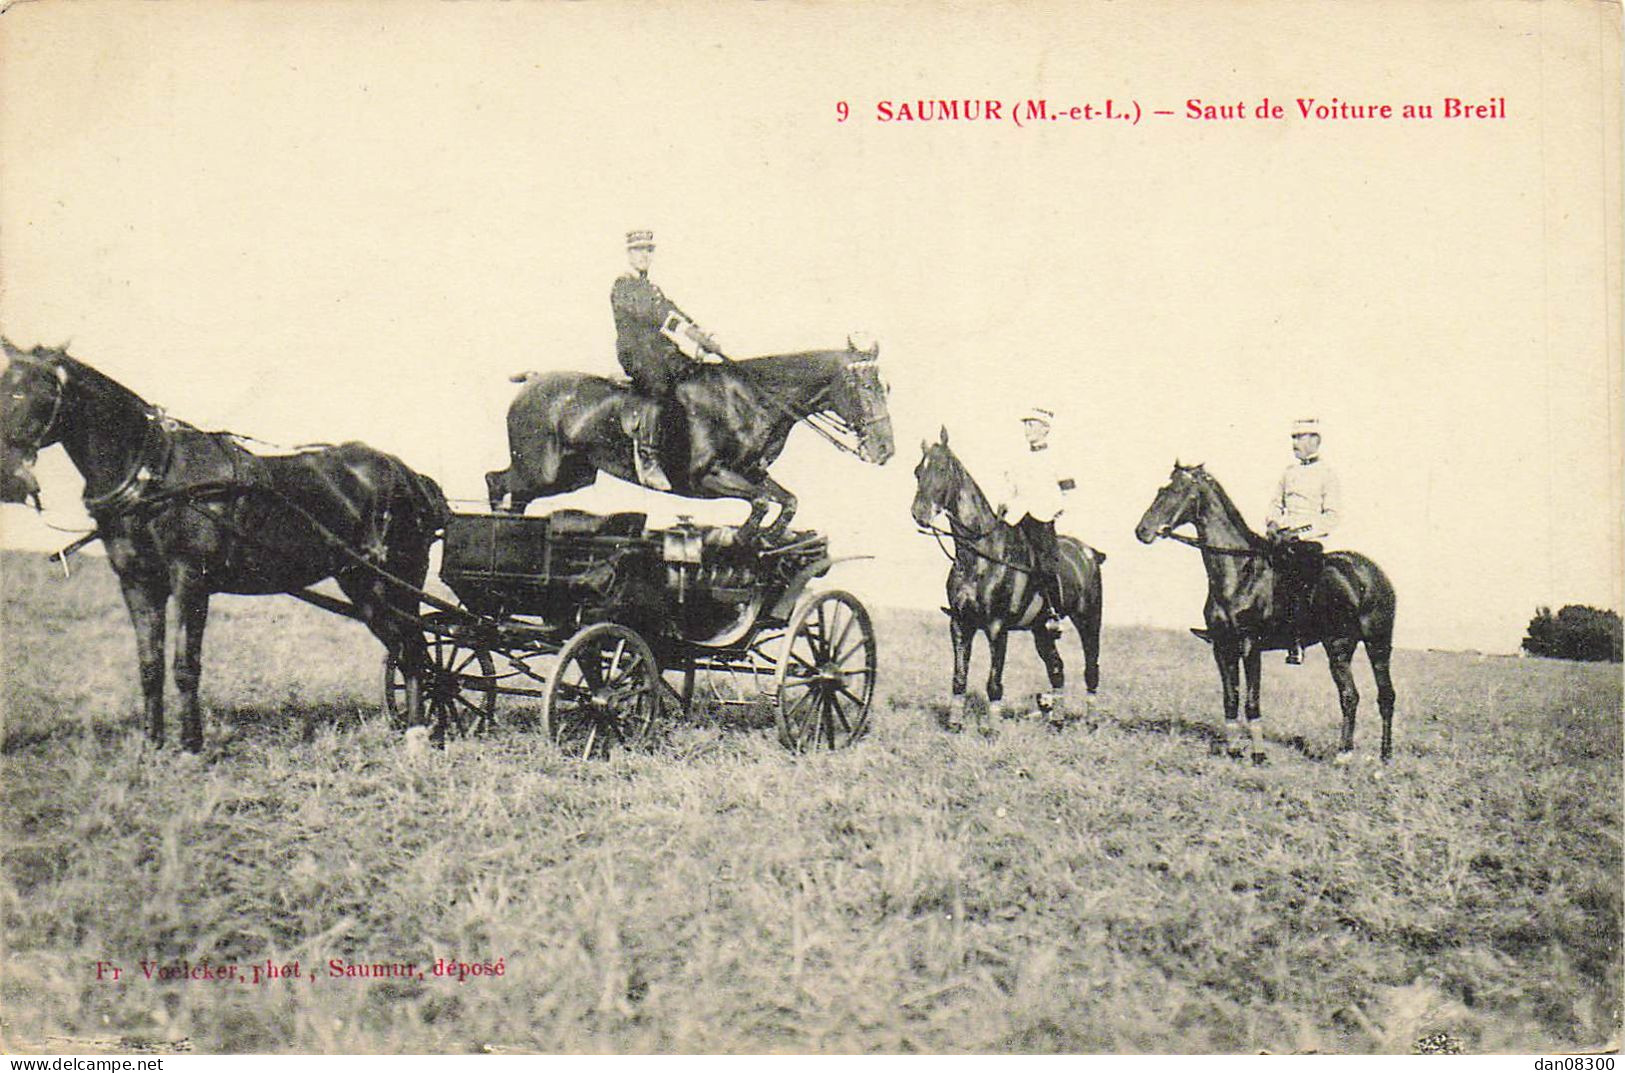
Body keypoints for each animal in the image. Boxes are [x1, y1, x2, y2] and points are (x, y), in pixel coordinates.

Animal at [0, 343, 448, 754]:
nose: (8, 479)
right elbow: (149, 666)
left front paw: (190, 747)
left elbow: (185, 665)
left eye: (24, 392)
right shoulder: (138, 583)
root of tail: (411, 477)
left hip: (396, 581)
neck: (155, 476)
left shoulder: (190, 579)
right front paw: (151, 745)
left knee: (415, 648)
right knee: (405, 648)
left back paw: (419, 735)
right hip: (363, 586)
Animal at [910, 425, 1111, 738]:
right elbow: (959, 677)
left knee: (1091, 669)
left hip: (1089, 620)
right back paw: (1057, 721)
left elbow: (994, 682)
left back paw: (1090, 722)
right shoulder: (960, 624)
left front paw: (992, 730)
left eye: (942, 468)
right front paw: (955, 725)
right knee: (1057, 668)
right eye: (918, 471)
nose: (919, 513)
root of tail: (1091, 553)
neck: (980, 557)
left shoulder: (996, 627)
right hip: (1041, 631)